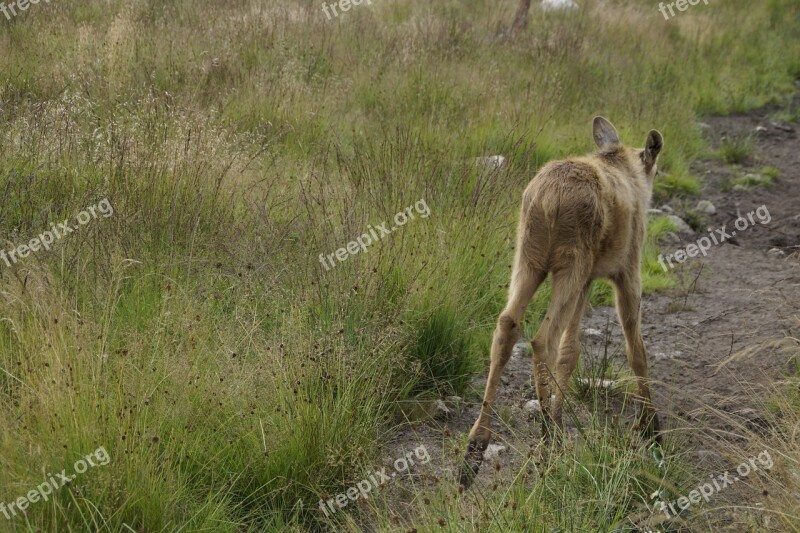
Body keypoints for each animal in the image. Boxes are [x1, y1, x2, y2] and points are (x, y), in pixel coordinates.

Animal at [460, 118, 664, 488]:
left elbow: (571, 354)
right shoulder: (627, 270)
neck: (623, 165)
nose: (656, 176)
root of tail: (546, 198)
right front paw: (651, 428)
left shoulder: (587, 281)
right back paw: (547, 436)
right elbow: (636, 350)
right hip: (571, 262)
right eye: (654, 167)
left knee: (507, 324)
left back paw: (476, 447)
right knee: (543, 338)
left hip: (529, 258)